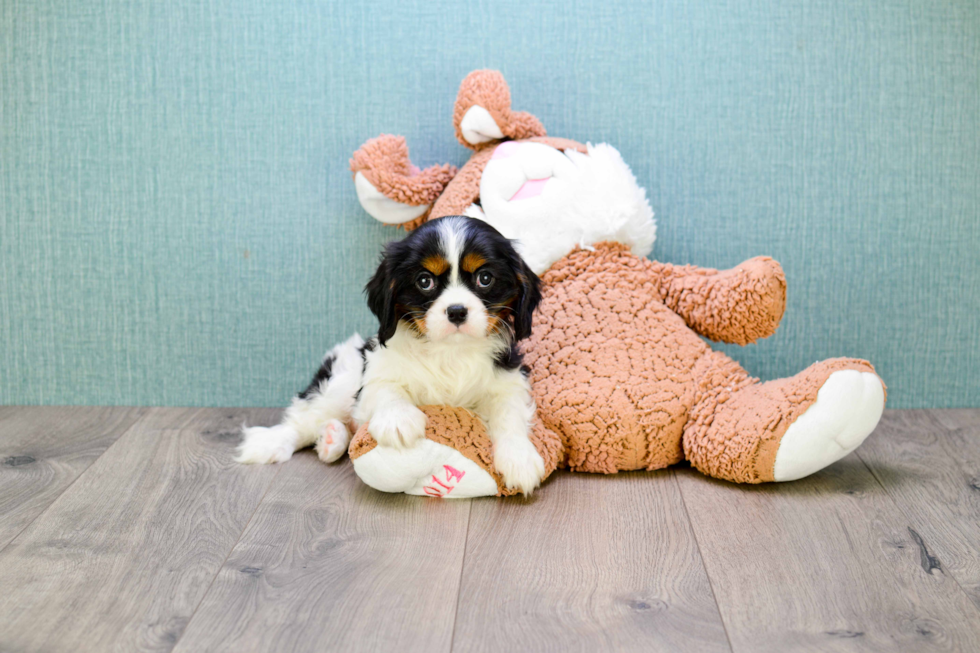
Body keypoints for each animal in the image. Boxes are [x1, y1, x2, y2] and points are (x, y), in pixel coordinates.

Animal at [234, 216, 548, 492]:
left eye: (485, 278)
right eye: (424, 281)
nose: (457, 311)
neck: (450, 350)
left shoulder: (508, 381)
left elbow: (509, 415)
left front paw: (519, 459)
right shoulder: (376, 371)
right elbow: (387, 389)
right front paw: (398, 420)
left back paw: (331, 439)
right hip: (339, 382)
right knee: (302, 422)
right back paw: (272, 443)